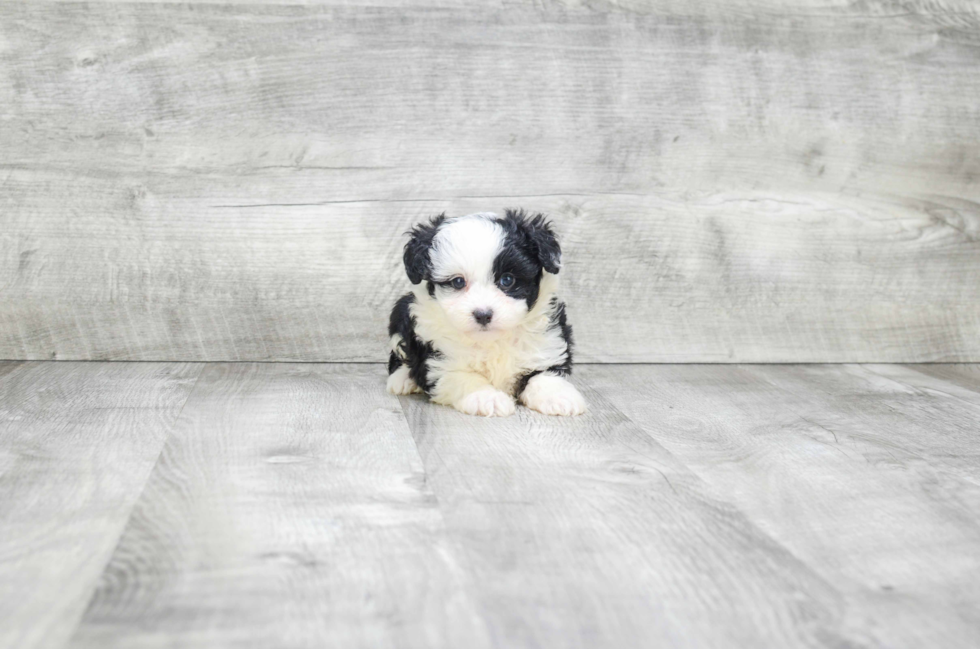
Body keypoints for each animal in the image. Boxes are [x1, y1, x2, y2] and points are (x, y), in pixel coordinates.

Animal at [384, 210, 584, 418]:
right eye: (457, 282)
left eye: (507, 280)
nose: (483, 314)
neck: (492, 340)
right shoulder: (438, 361)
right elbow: (464, 378)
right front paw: (487, 398)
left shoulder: (546, 343)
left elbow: (545, 373)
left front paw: (558, 396)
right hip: (400, 315)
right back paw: (402, 379)